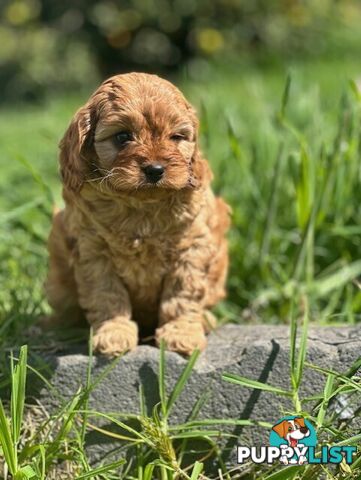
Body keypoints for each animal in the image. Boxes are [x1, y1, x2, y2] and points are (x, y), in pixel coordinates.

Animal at [45, 72, 229, 356]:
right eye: (122, 137)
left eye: (176, 137)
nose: (155, 170)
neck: (142, 205)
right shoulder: (93, 252)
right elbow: (107, 295)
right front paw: (114, 333)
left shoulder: (191, 247)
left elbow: (182, 294)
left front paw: (182, 333)